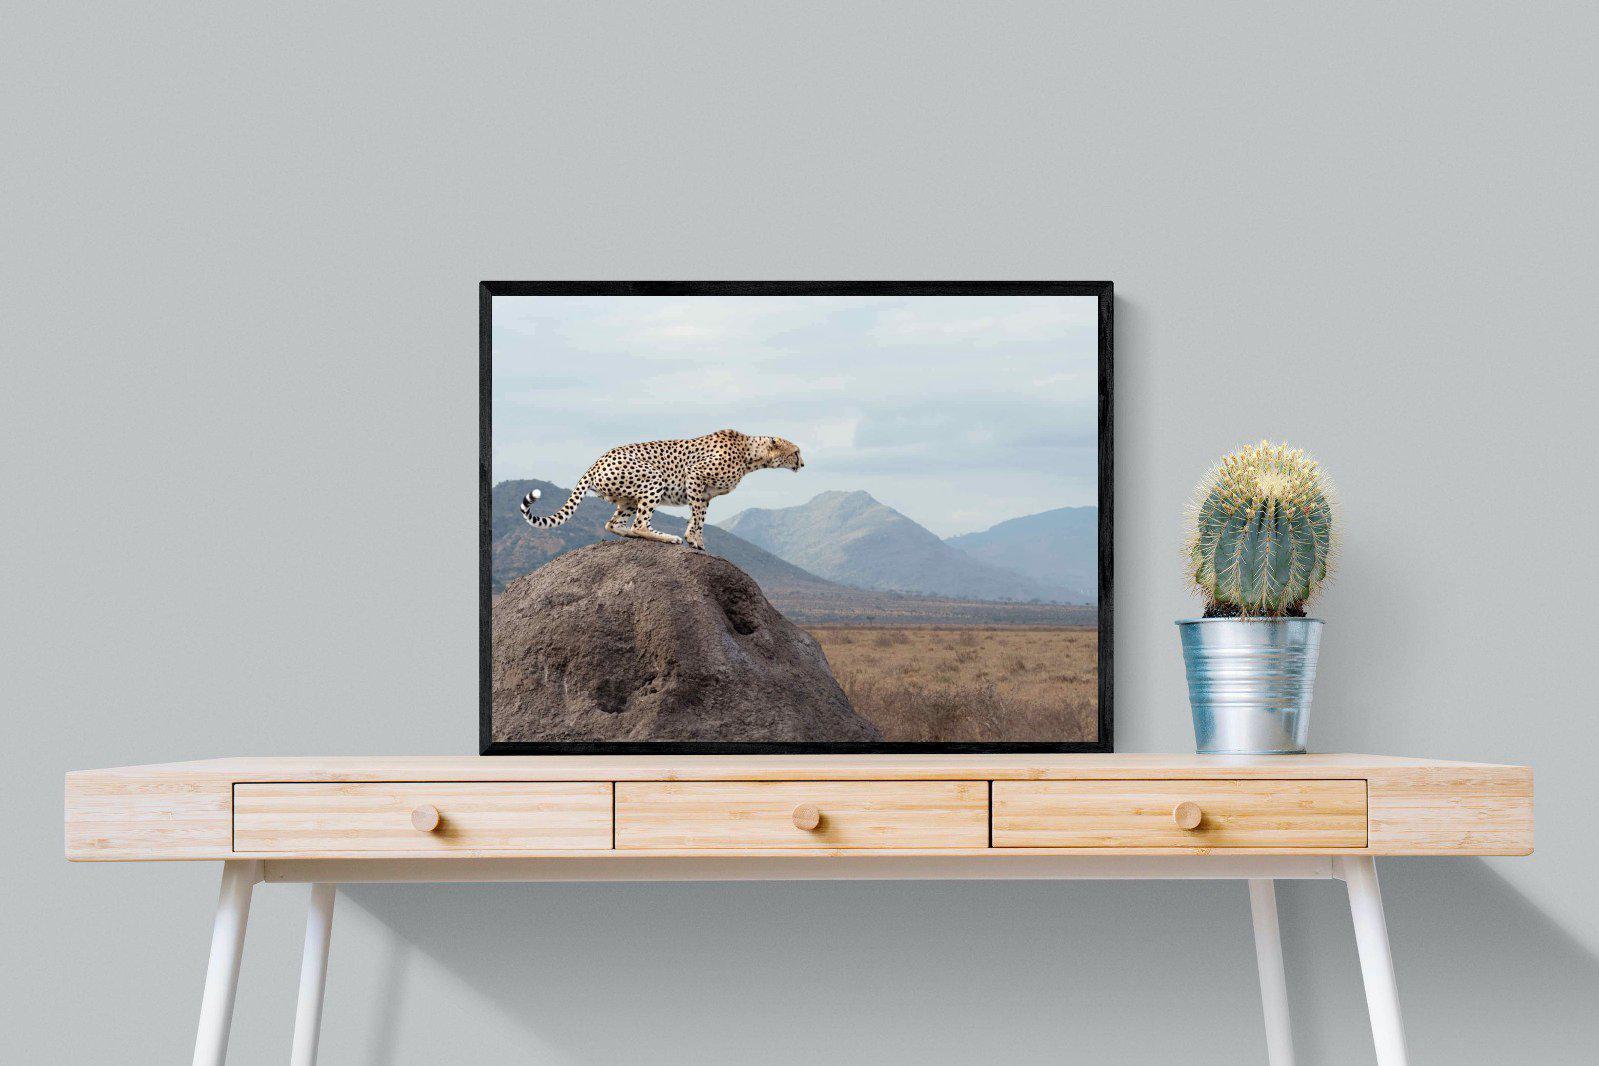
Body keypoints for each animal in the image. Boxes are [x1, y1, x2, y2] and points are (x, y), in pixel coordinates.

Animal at [520, 429, 804, 550]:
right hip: (653, 479)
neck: (750, 455)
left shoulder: (706, 494)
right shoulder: (695, 476)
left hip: (627, 499)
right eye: (796, 452)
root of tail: (597, 461)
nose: (803, 463)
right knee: (640, 524)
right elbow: (697, 517)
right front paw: (692, 539)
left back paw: (631, 535)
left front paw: (698, 540)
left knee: (613, 523)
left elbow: (700, 517)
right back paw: (667, 537)